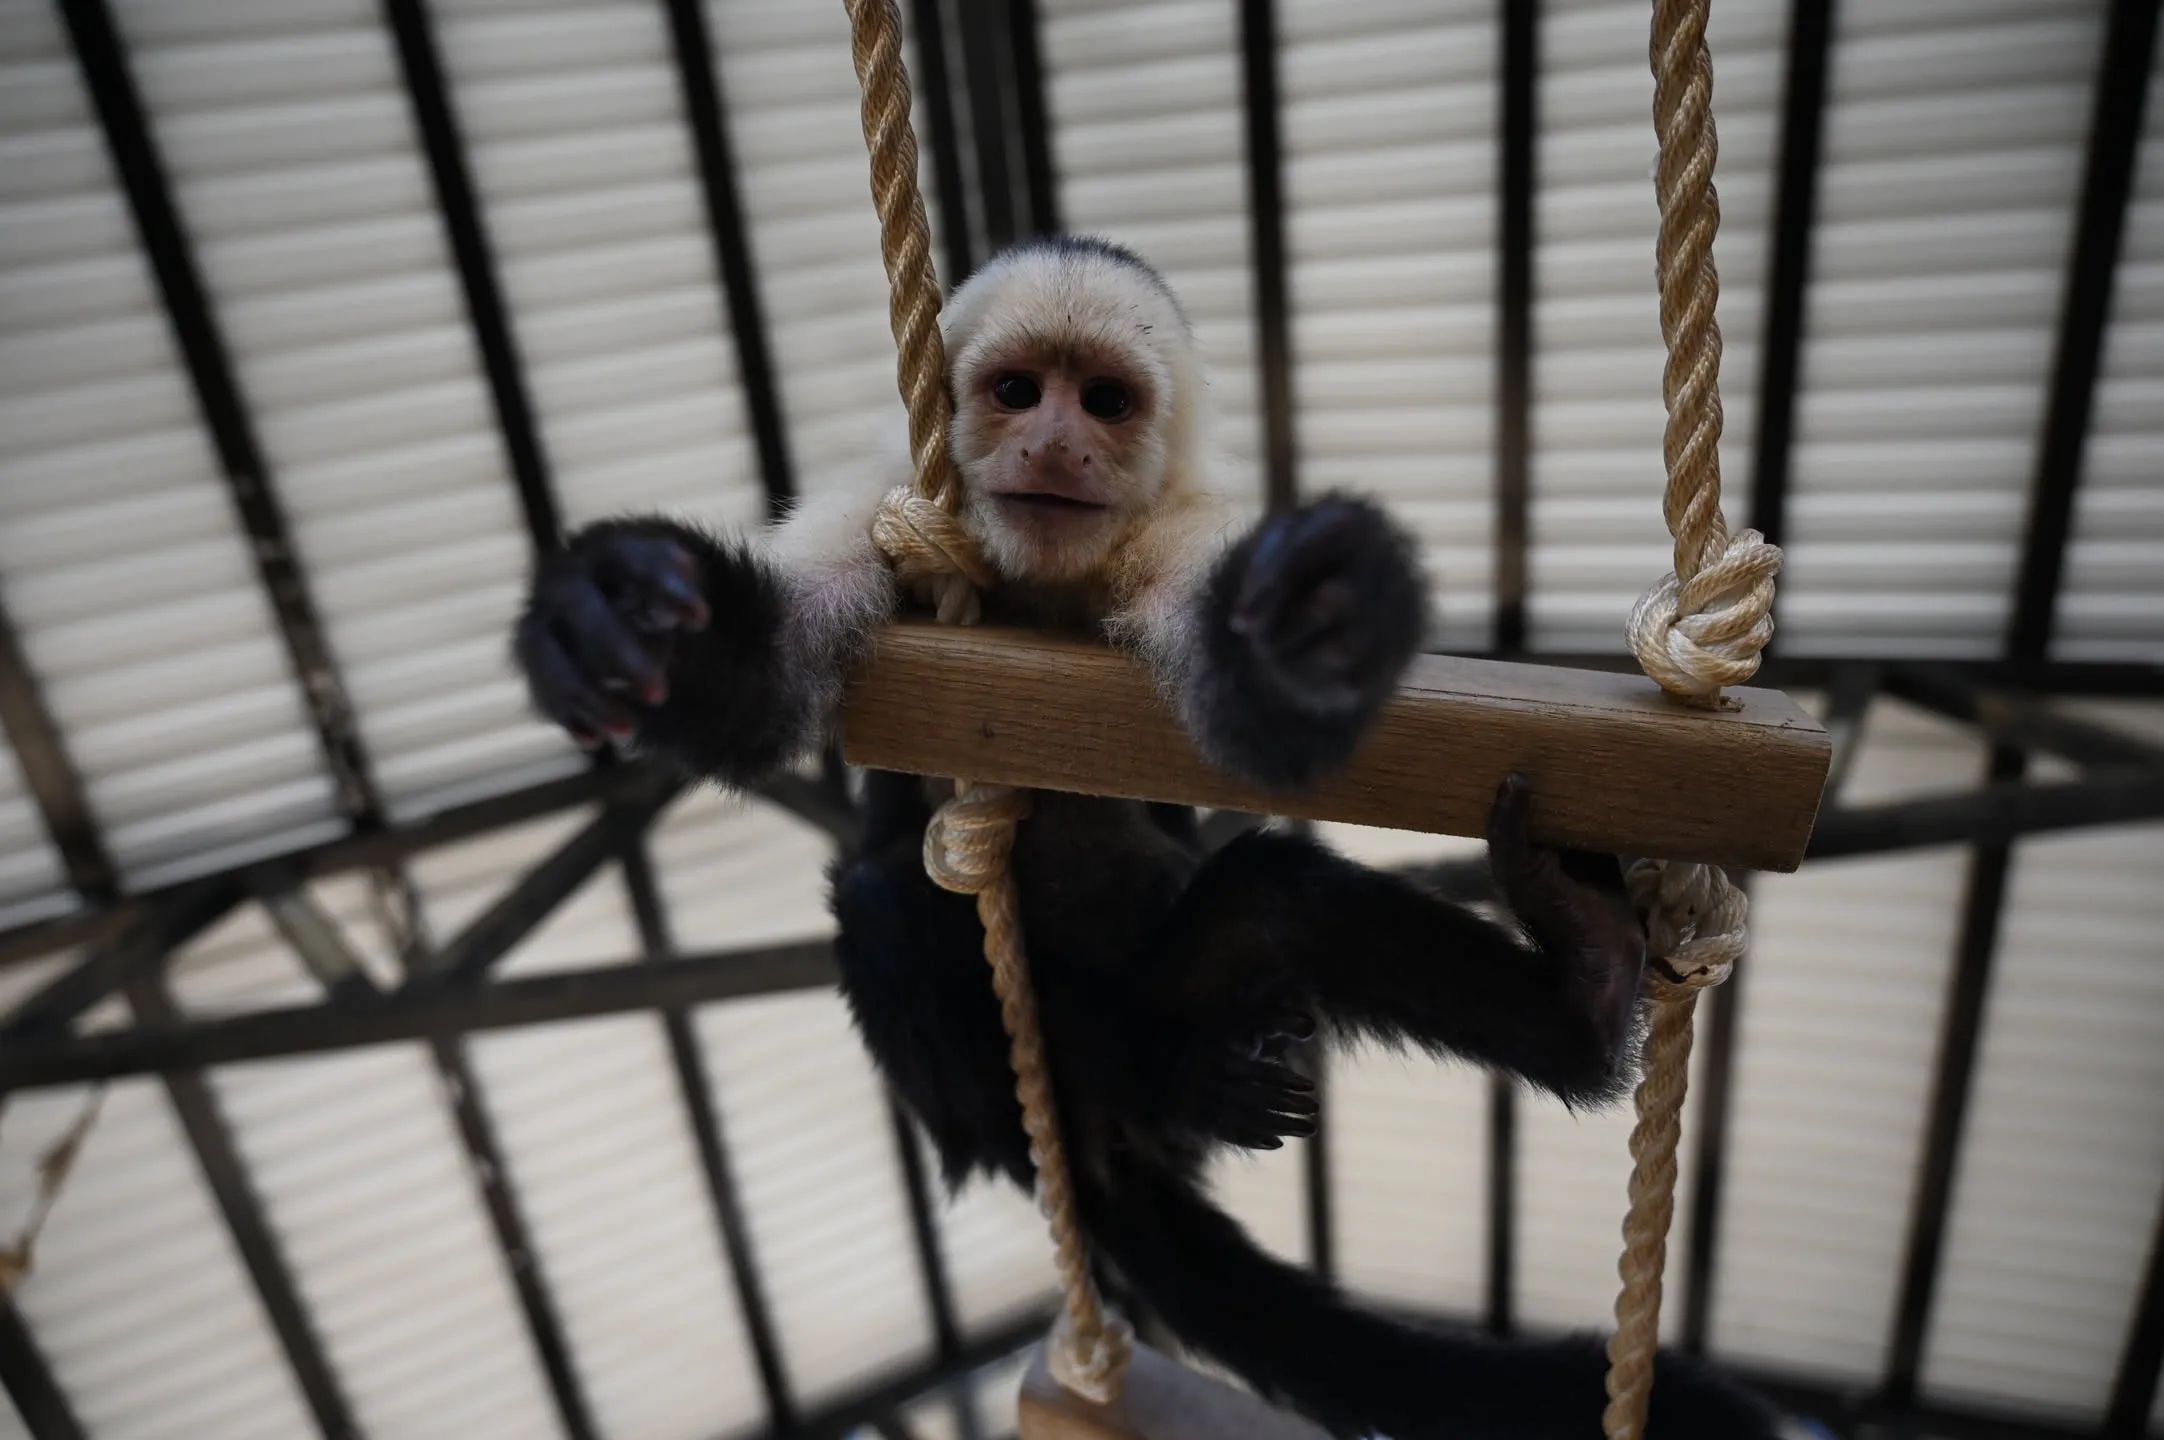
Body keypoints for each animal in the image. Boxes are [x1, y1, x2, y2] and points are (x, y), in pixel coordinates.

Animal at [513, 234, 1784, 1439]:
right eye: (1016, 391)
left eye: (1105, 400)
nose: (1054, 444)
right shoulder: (879, 500)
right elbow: (765, 683)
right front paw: (617, 611)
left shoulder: (1178, 535)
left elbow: (1252, 720)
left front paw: (1325, 620)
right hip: (1020, 1095)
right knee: (887, 906)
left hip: (1188, 992)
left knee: (1277, 900)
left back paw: (1574, 992)